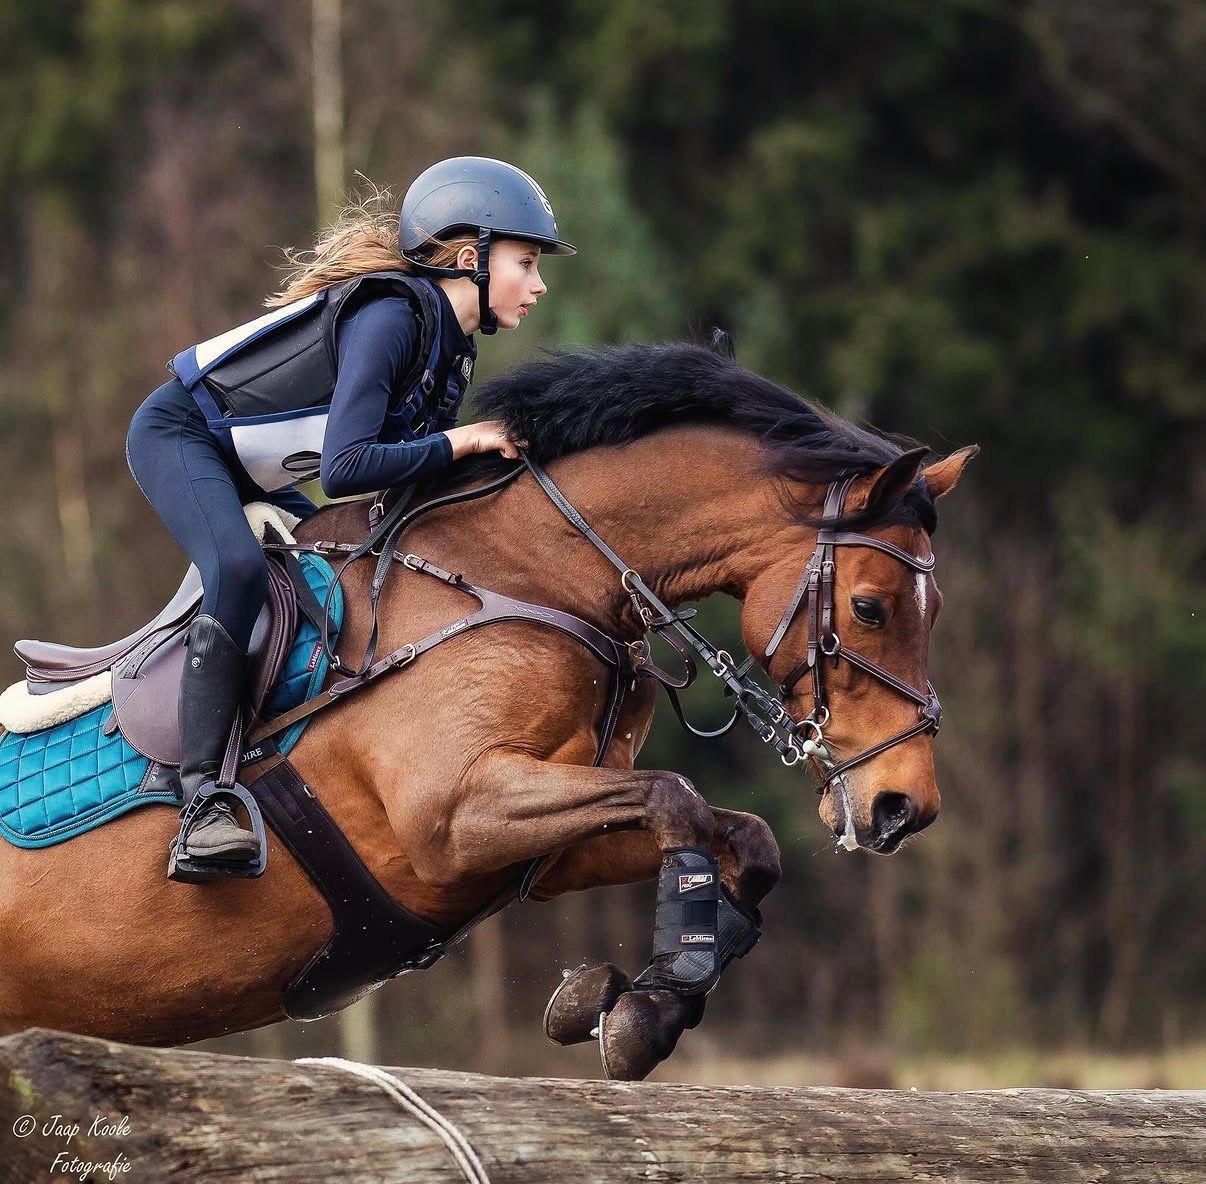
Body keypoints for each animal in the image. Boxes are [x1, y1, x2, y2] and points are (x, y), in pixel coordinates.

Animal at [0, 342, 975, 1080]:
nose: (904, 808)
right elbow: (677, 799)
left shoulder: (542, 842)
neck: (531, 569)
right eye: (871, 609)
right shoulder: (453, 815)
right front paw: (647, 999)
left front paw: (630, 1002)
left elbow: (743, 841)